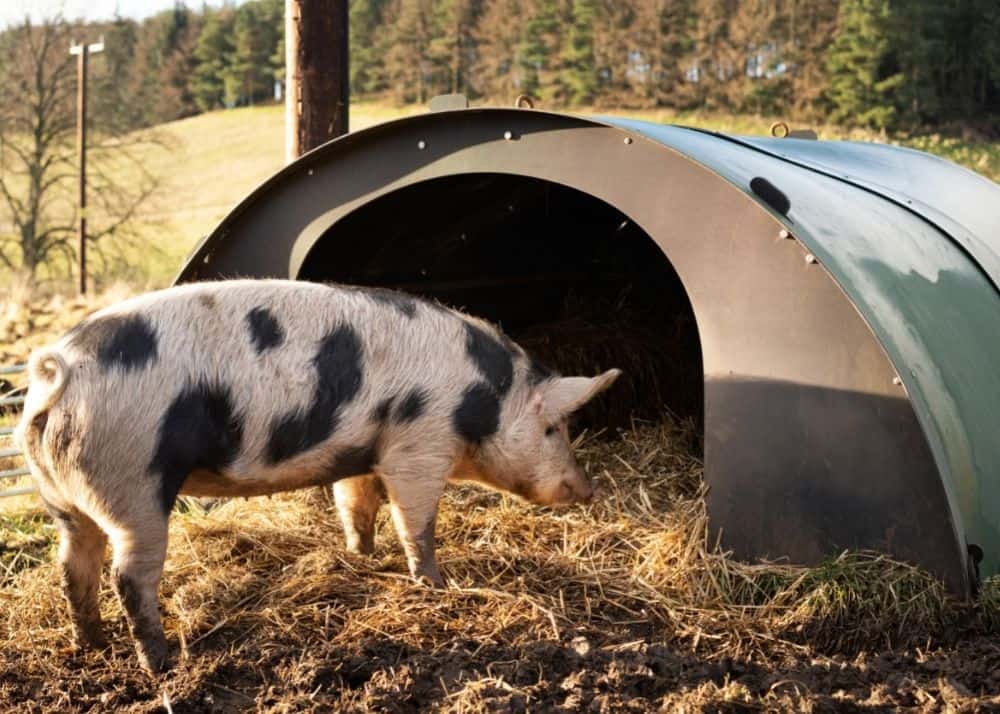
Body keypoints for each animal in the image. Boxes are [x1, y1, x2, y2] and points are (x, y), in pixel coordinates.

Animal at [16, 279, 621, 674]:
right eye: (554, 428)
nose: (588, 488)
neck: (484, 399)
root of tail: (58, 374)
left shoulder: (364, 452)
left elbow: (356, 503)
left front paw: (361, 557)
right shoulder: (419, 445)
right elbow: (416, 522)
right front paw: (435, 583)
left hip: (61, 495)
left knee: (73, 564)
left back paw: (91, 646)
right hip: (132, 481)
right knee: (128, 575)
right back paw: (161, 664)